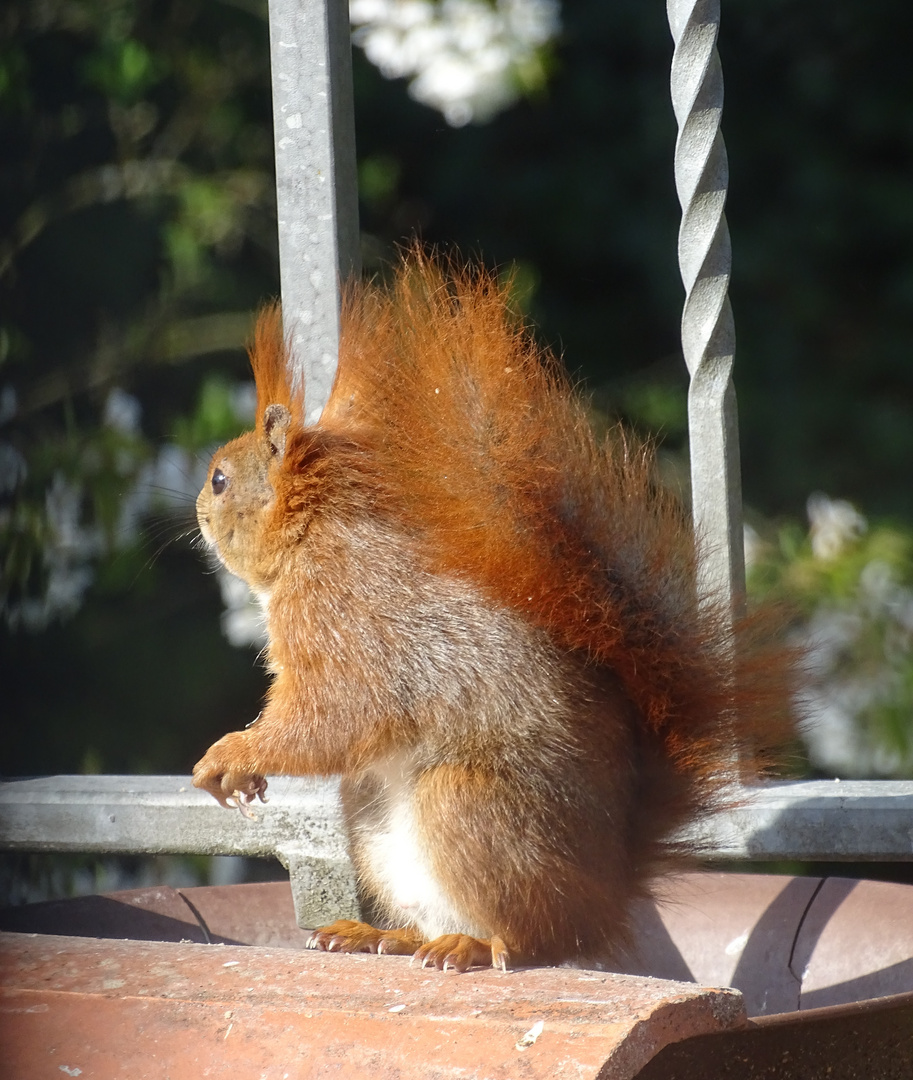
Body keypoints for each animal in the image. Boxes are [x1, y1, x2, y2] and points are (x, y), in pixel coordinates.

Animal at [190, 247, 790, 972]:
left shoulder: (343, 621)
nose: (197, 509)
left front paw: (230, 753)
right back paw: (378, 934)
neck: (312, 540)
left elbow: (329, 719)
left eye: (221, 479)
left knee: (530, 938)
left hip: (465, 805)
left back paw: (472, 944)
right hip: (372, 820)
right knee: (431, 919)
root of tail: (604, 896)